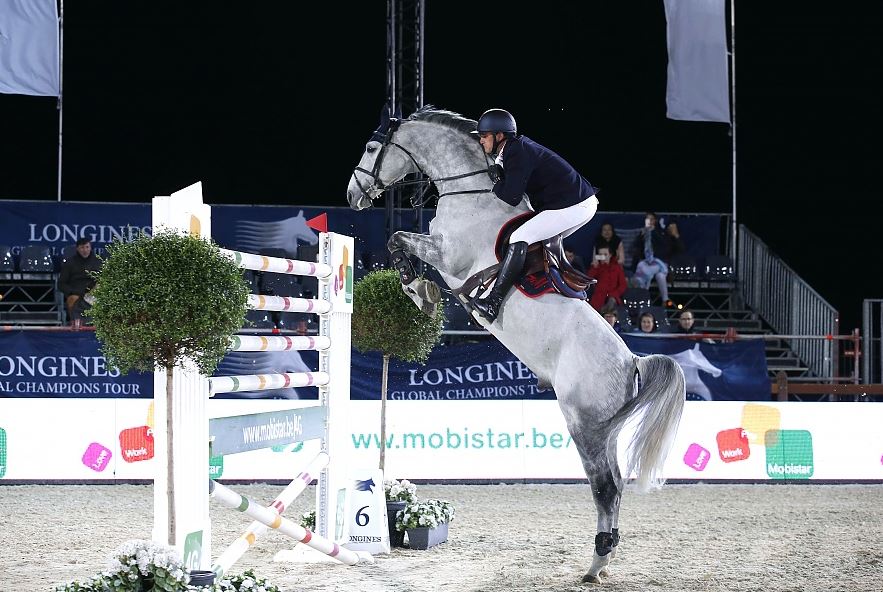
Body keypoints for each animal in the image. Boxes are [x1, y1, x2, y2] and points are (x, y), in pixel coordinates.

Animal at [348, 105, 688, 584]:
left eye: (371, 147)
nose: (352, 195)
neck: (469, 189)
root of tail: (632, 363)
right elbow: (400, 242)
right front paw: (420, 289)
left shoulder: (448, 255)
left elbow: (399, 240)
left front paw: (419, 290)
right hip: (606, 430)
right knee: (617, 484)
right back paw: (604, 559)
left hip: (583, 423)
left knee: (604, 486)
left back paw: (594, 563)